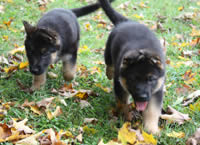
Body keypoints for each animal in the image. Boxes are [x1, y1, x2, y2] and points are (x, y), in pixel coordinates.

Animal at [98, 0, 166, 134]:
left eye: (151, 79)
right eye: (133, 79)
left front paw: (151, 129)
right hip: (108, 49)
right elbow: (122, 104)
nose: (142, 97)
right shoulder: (119, 85)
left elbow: (152, 110)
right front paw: (126, 118)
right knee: (109, 63)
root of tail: (126, 21)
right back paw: (110, 72)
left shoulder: (157, 90)